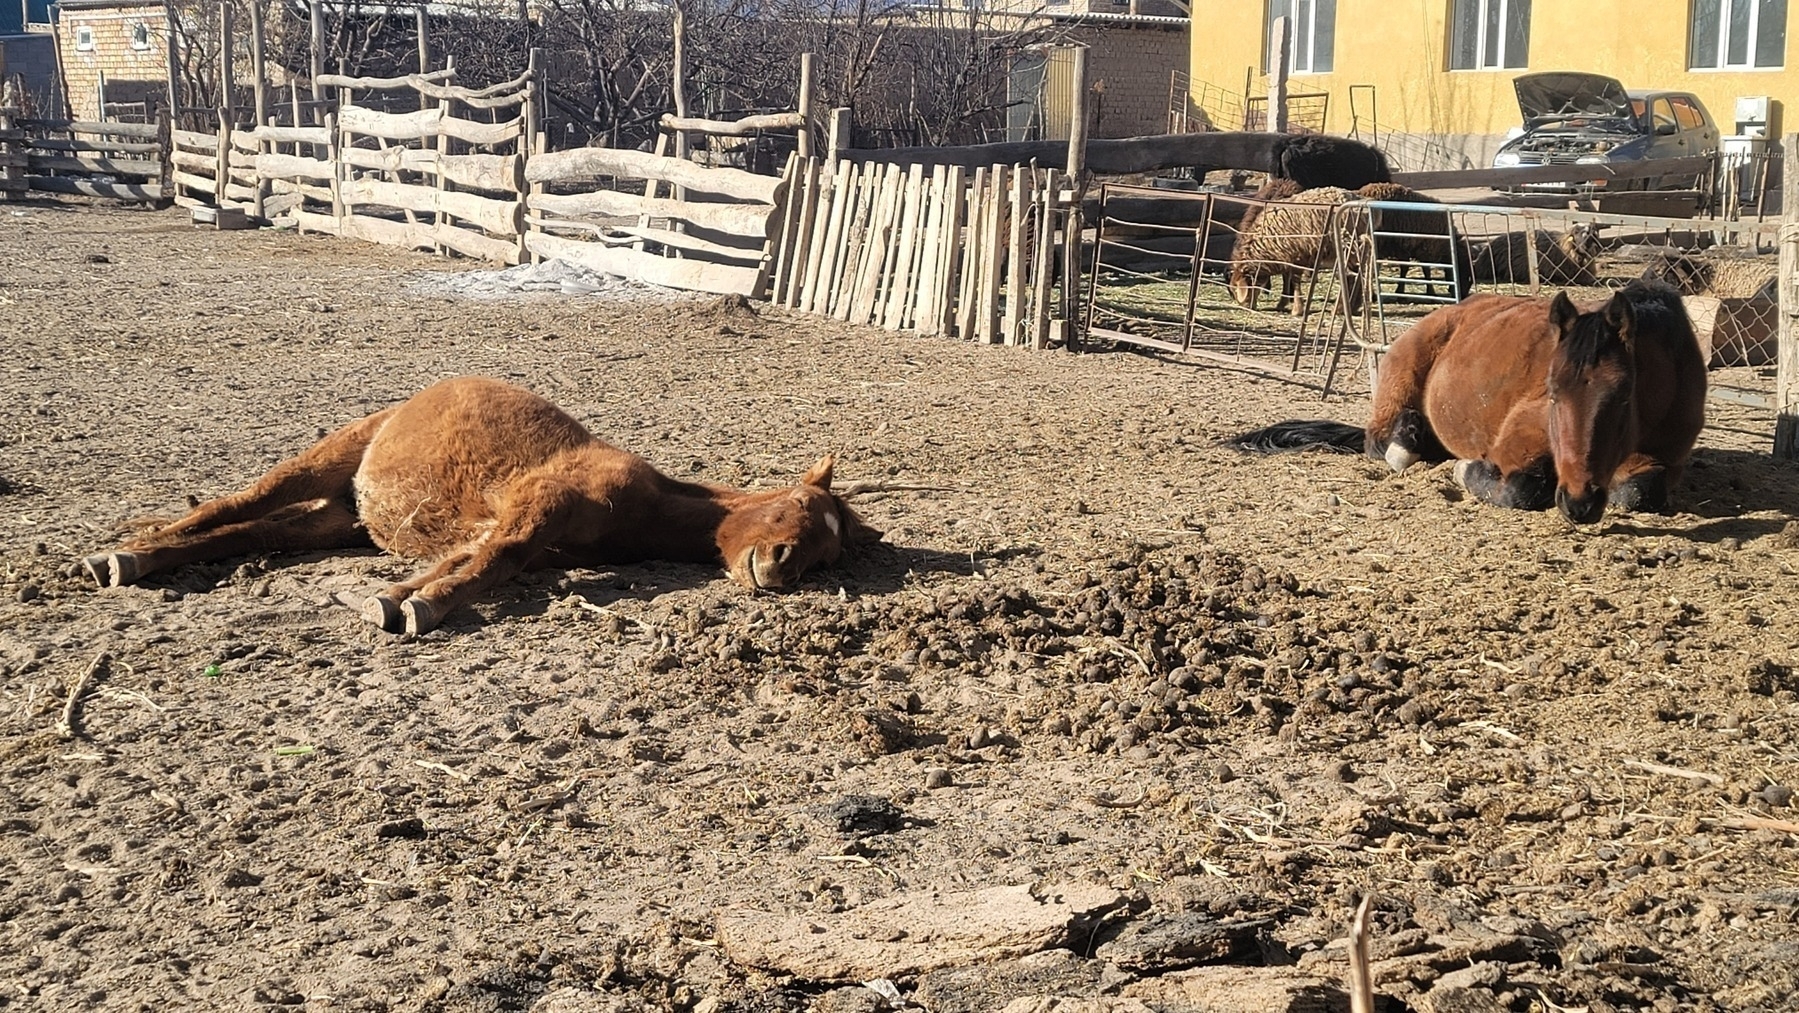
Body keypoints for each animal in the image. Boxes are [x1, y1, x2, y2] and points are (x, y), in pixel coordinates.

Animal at [84, 377, 885, 633]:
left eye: (826, 559)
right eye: (795, 504)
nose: (778, 565)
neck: (643, 505)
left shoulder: (530, 532)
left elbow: (479, 558)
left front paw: (401, 595)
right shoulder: (538, 505)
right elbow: (494, 557)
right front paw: (419, 606)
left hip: (338, 520)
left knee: (242, 533)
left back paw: (138, 559)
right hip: (330, 457)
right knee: (229, 506)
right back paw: (120, 554)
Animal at [1230, 280, 1705, 528]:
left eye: (1623, 395)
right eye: (1552, 392)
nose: (1578, 501)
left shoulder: (1661, 460)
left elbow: (1640, 492)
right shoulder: (1518, 445)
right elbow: (1521, 488)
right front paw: (1465, 472)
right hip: (1399, 382)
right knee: (1379, 441)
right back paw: (1408, 442)